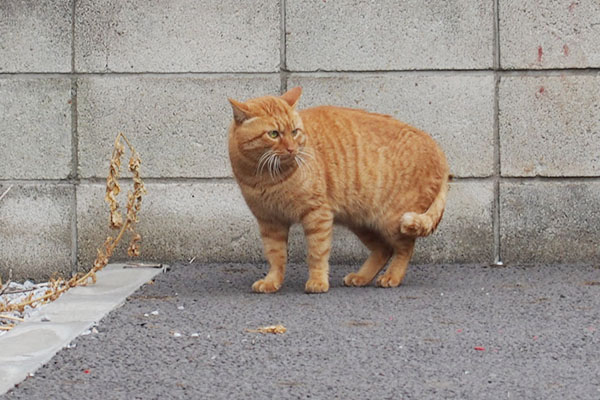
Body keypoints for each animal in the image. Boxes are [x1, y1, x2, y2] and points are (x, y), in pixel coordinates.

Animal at [227, 87, 448, 294]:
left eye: (294, 132)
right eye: (274, 134)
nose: (291, 149)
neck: (265, 177)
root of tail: (439, 150)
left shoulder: (317, 214)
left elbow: (317, 253)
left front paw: (317, 282)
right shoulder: (270, 221)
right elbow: (275, 256)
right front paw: (272, 281)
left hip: (392, 219)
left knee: (405, 248)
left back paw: (392, 276)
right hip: (361, 222)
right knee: (384, 249)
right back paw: (361, 277)